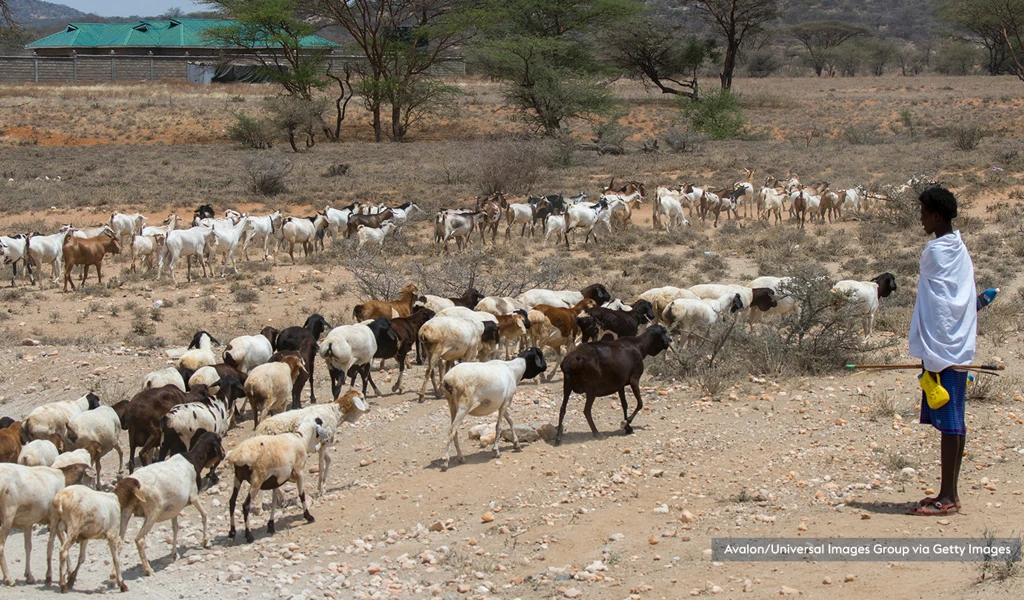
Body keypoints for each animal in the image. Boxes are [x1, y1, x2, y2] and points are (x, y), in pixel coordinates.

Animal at [118, 432, 223, 576]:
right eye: (219, 440)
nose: (224, 454)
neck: (193, 459)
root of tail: (132, 484)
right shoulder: (194, 497)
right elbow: (205, 515)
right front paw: (206, 542)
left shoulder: (175, 508)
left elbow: (175, 528)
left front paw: (174, 554)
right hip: (152, 512)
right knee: (139, 540)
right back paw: (148, 569)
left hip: (126, 511)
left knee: (118, 541)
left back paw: (115, 576)